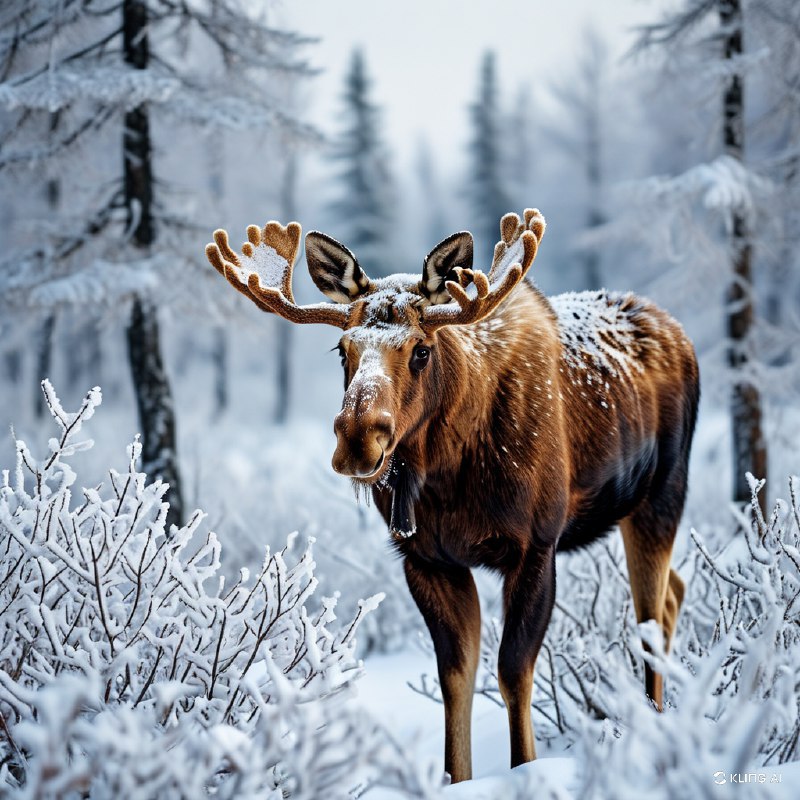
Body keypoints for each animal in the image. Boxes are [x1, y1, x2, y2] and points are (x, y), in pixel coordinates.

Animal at [205, 209, 699, 784]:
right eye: (342, 349)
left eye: (421, 350)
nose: (358, 438)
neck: (446, 478)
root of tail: (679, 333)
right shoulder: (425, 557)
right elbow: (455, 675)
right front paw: (457, 777)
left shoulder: (536, 544)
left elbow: (512, 670)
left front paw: (525, 770)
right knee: (673, 592)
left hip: (663, 493)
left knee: (649, 618)